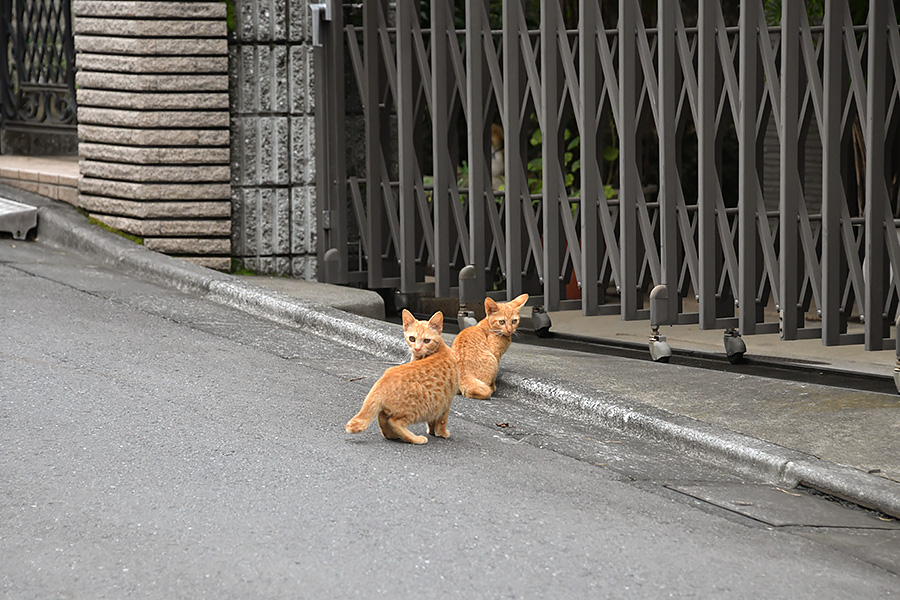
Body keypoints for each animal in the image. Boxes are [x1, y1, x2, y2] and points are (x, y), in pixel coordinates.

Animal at [344, 312, 458, 442]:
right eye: (412, 338)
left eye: (426, 340)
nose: (417, 348)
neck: (440, 349)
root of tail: (382, 381)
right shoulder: (446, 400)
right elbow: (442, 420)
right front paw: (442, 433)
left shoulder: (439, 400)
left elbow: (433, 420)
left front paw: (432, 431)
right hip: (415, 409)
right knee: (394, 421)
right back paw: (416, 439)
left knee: (382, 417)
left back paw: (391, 435)